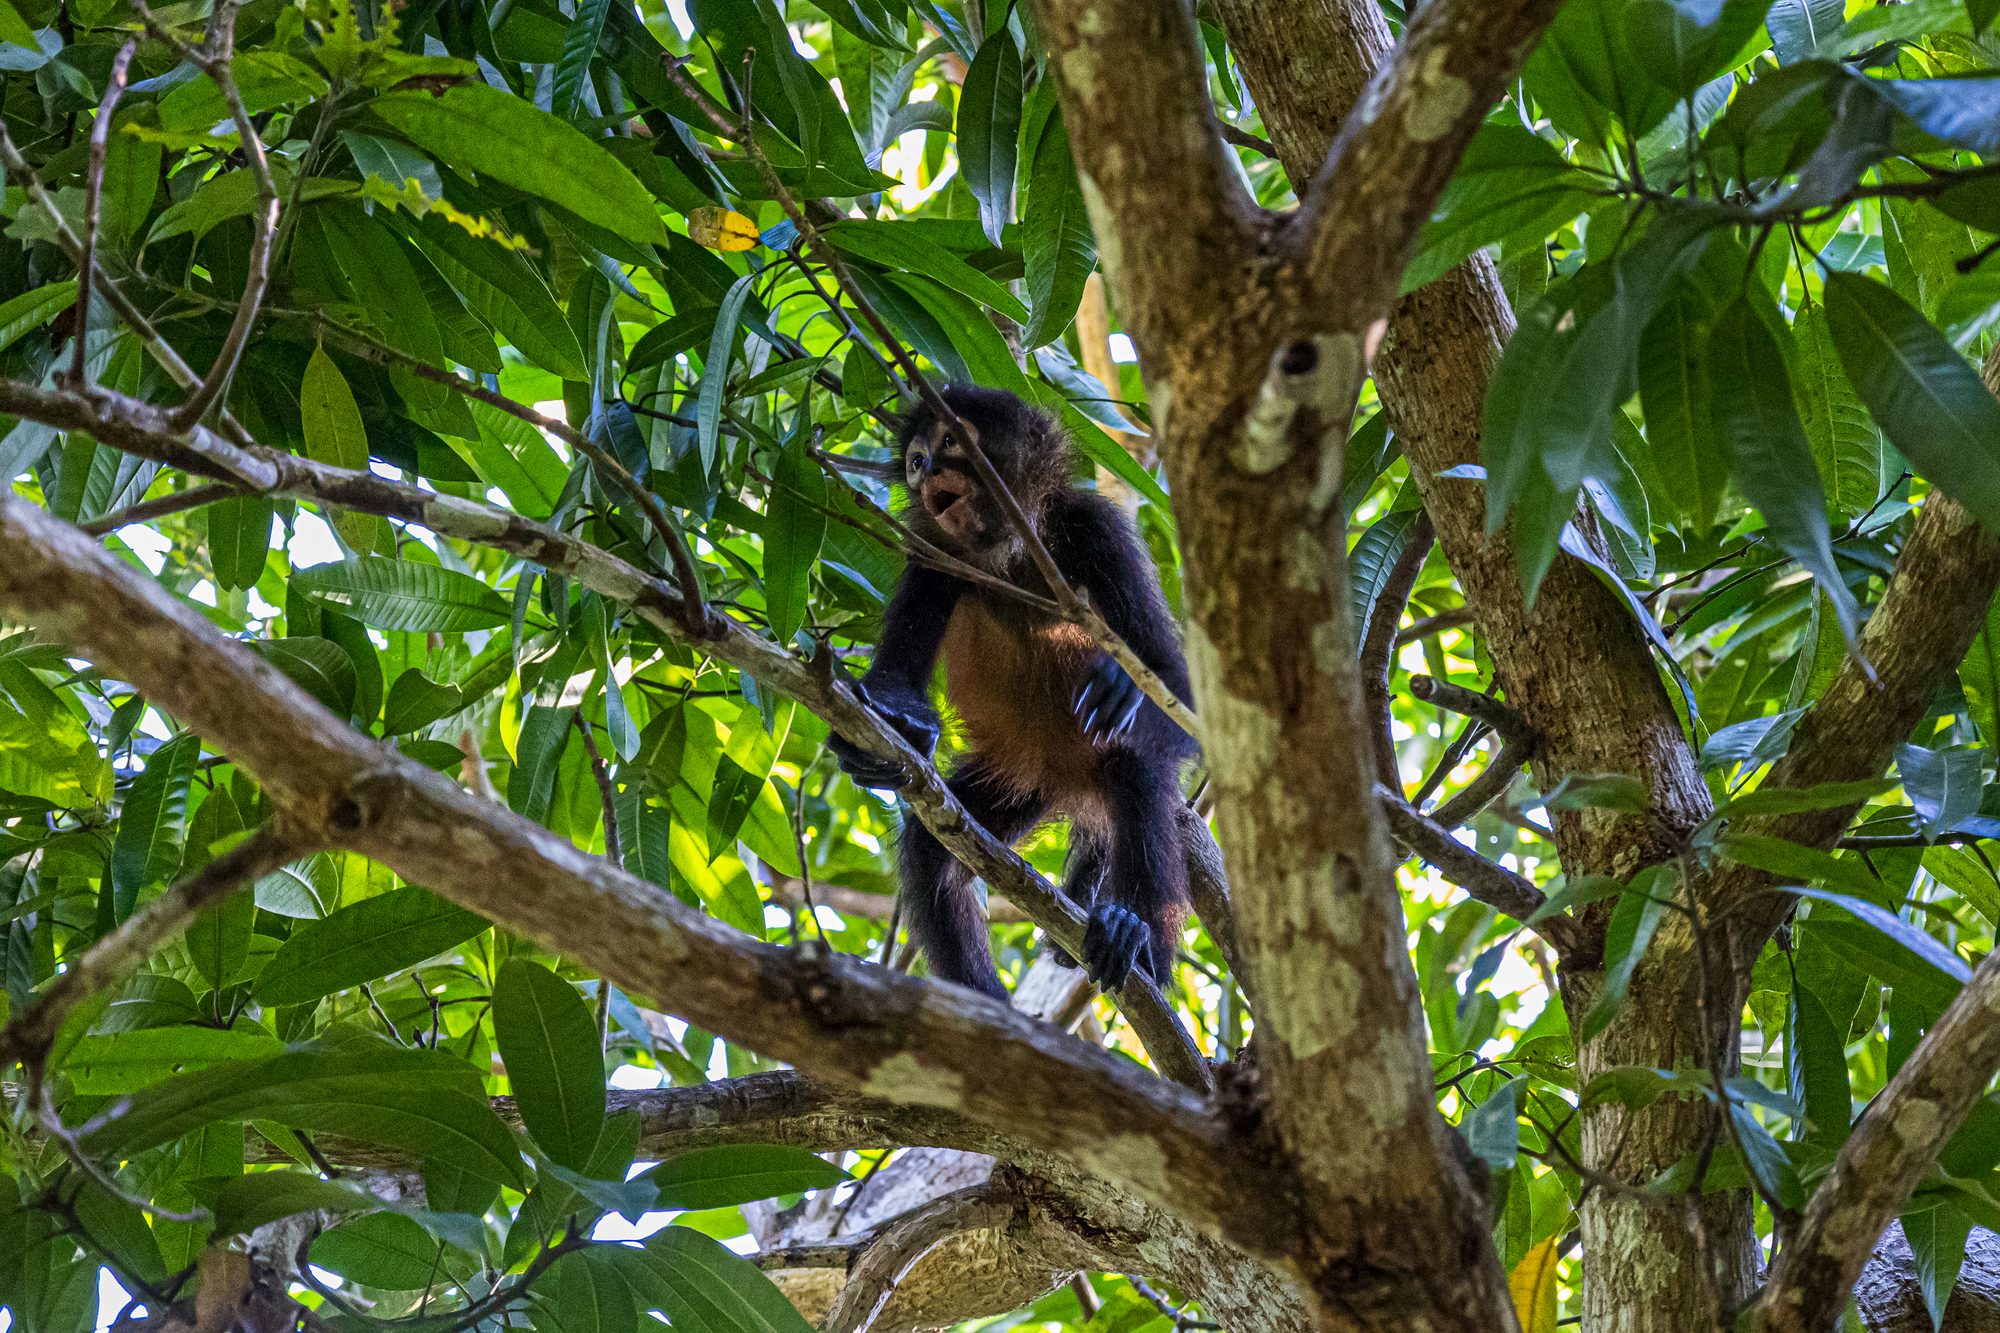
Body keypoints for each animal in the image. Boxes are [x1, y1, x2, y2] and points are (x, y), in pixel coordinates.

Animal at [827, 385, 1197, 1001]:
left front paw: (1125, 684)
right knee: (931, 848)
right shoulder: (934, 550)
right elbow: (890, 682)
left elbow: (1179, 693)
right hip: (1019, 781)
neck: (1011, 553)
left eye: (952, 441)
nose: (927, 469)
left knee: (1135, 758)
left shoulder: (1095, 527)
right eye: (915, 460)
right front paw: (895, 729)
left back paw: (1139, 940)